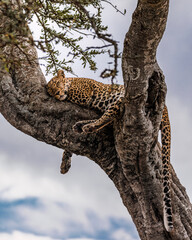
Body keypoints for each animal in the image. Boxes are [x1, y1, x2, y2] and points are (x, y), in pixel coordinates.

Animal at [47, 69, 174, 232]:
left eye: (57, 84)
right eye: (50, 92)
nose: (57, 93)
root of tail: (165, 109)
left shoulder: (83, 93)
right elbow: (68, 148)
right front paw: (64, 164)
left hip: (123, 98)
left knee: (109, 115)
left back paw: (88, 126)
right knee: (108, 117)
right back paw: (82, 125)